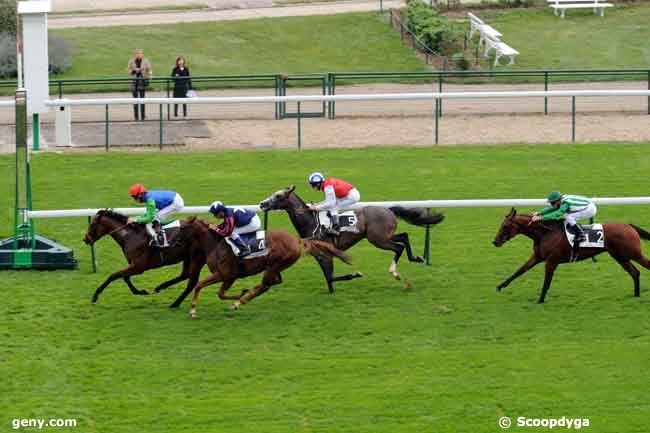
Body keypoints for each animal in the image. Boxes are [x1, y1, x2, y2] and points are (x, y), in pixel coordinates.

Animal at [175, 216, 352, 318]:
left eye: (182, 228)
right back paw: (244, 297)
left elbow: (200, 286)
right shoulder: (229, 277)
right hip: (275, 267)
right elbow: (220, 293)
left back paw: (240, 301)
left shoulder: (224, 274)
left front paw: (192, 311)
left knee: (266, 285)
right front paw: (241, 293)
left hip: (274, 264)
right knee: (273, 282)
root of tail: (296, 239)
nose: (173, 242)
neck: (215, 245)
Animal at [256, 185, 440, 290]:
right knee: (404, 237)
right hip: (384, 236)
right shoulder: (319, 255)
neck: (310, 222)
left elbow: (331, 276)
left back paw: (394, 272)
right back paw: (416, 258)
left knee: (399, 247)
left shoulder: (326, 254)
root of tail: (388, 209)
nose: (262, 204)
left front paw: (354, 274)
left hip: (378, 239)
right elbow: (329, 278)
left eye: (279, 196)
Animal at [492, 208, 648, 302]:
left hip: (633, 253)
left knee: (644, 267)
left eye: (505, 226)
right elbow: (519, 271)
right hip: (619, 256)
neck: (545, 233)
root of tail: (629, 226)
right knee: (635, 272)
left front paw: (540, 300)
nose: (495, 241)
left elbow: (547, 282)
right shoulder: (537, 257)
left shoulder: (551, 261)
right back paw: (636, 294)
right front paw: (500, 286)